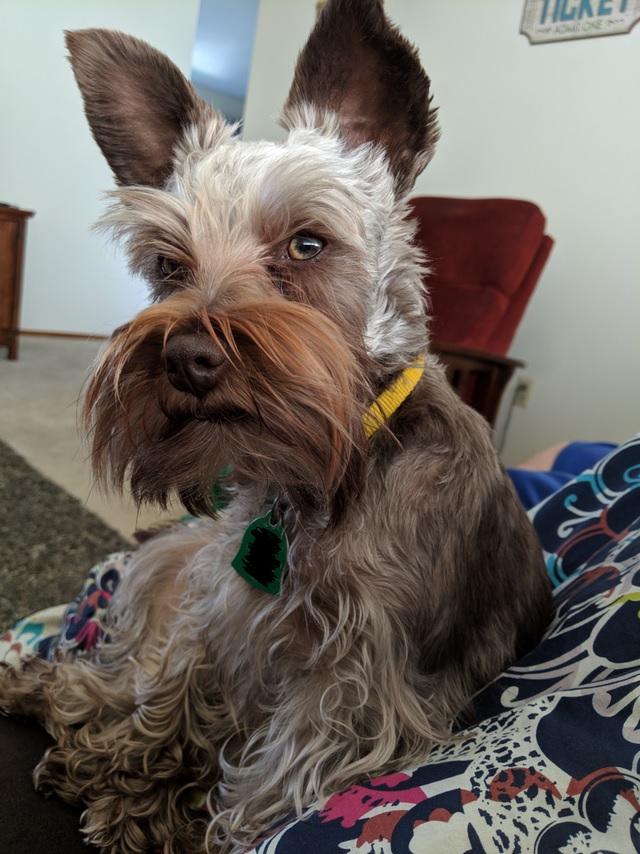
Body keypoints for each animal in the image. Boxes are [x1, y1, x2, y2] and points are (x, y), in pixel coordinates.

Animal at [0, 3, 552, 852]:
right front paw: (127, 776)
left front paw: (182, 821)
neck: (312, 483)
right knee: (115, 670)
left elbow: (267, 786)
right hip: (173, 563)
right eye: (168, 265)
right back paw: (56, 703)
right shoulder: (216, 605)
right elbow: (168, 694)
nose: (186, 357)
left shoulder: (354, 688)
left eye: (307, 243)